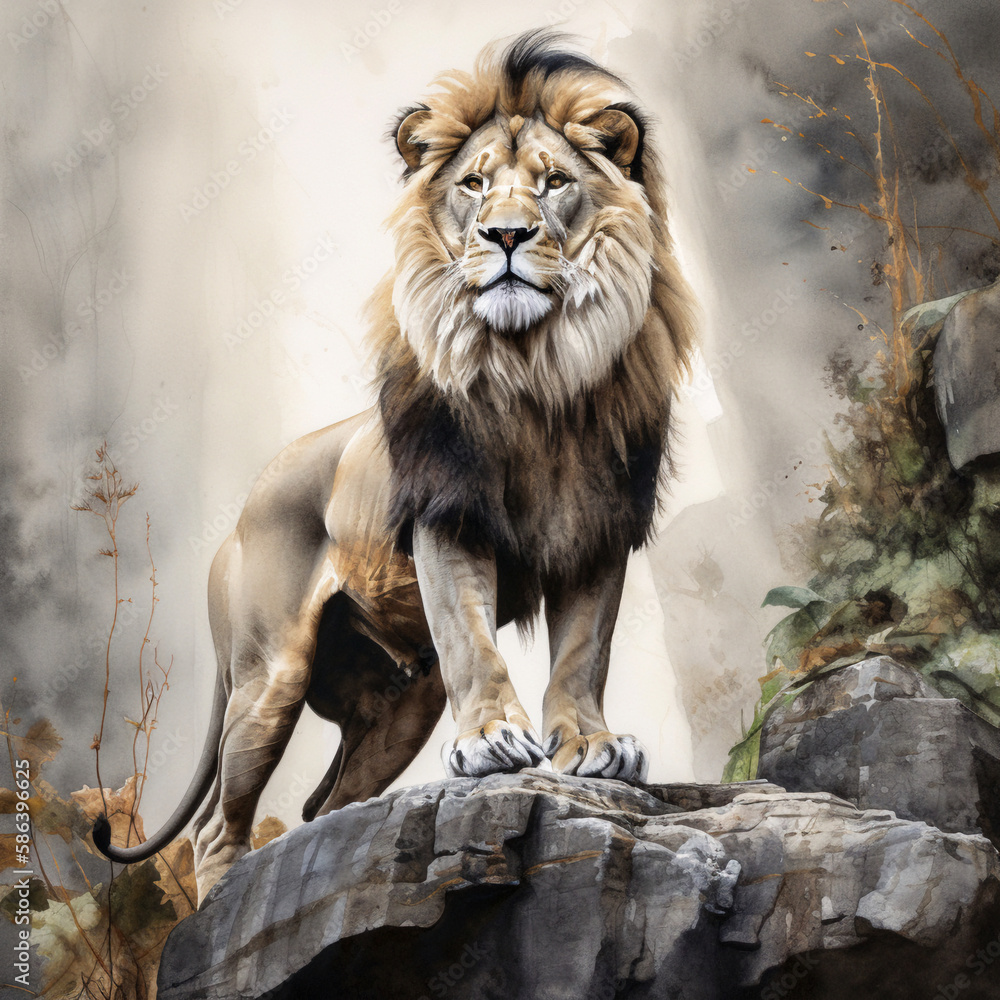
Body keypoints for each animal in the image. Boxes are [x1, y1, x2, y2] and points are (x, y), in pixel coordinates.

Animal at [94, 31, 695, 902]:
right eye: (474, 185)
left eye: (554, 183)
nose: (506, 236)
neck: (534, 372)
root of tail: (237, 517)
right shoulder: (448, 520)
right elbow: (475, 642)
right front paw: (492, 742)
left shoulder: (598, 529)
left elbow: (587, 650)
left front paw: (592, 745)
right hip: (266, 678)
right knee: (214, 827)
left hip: (399, 703)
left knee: (322, 806)